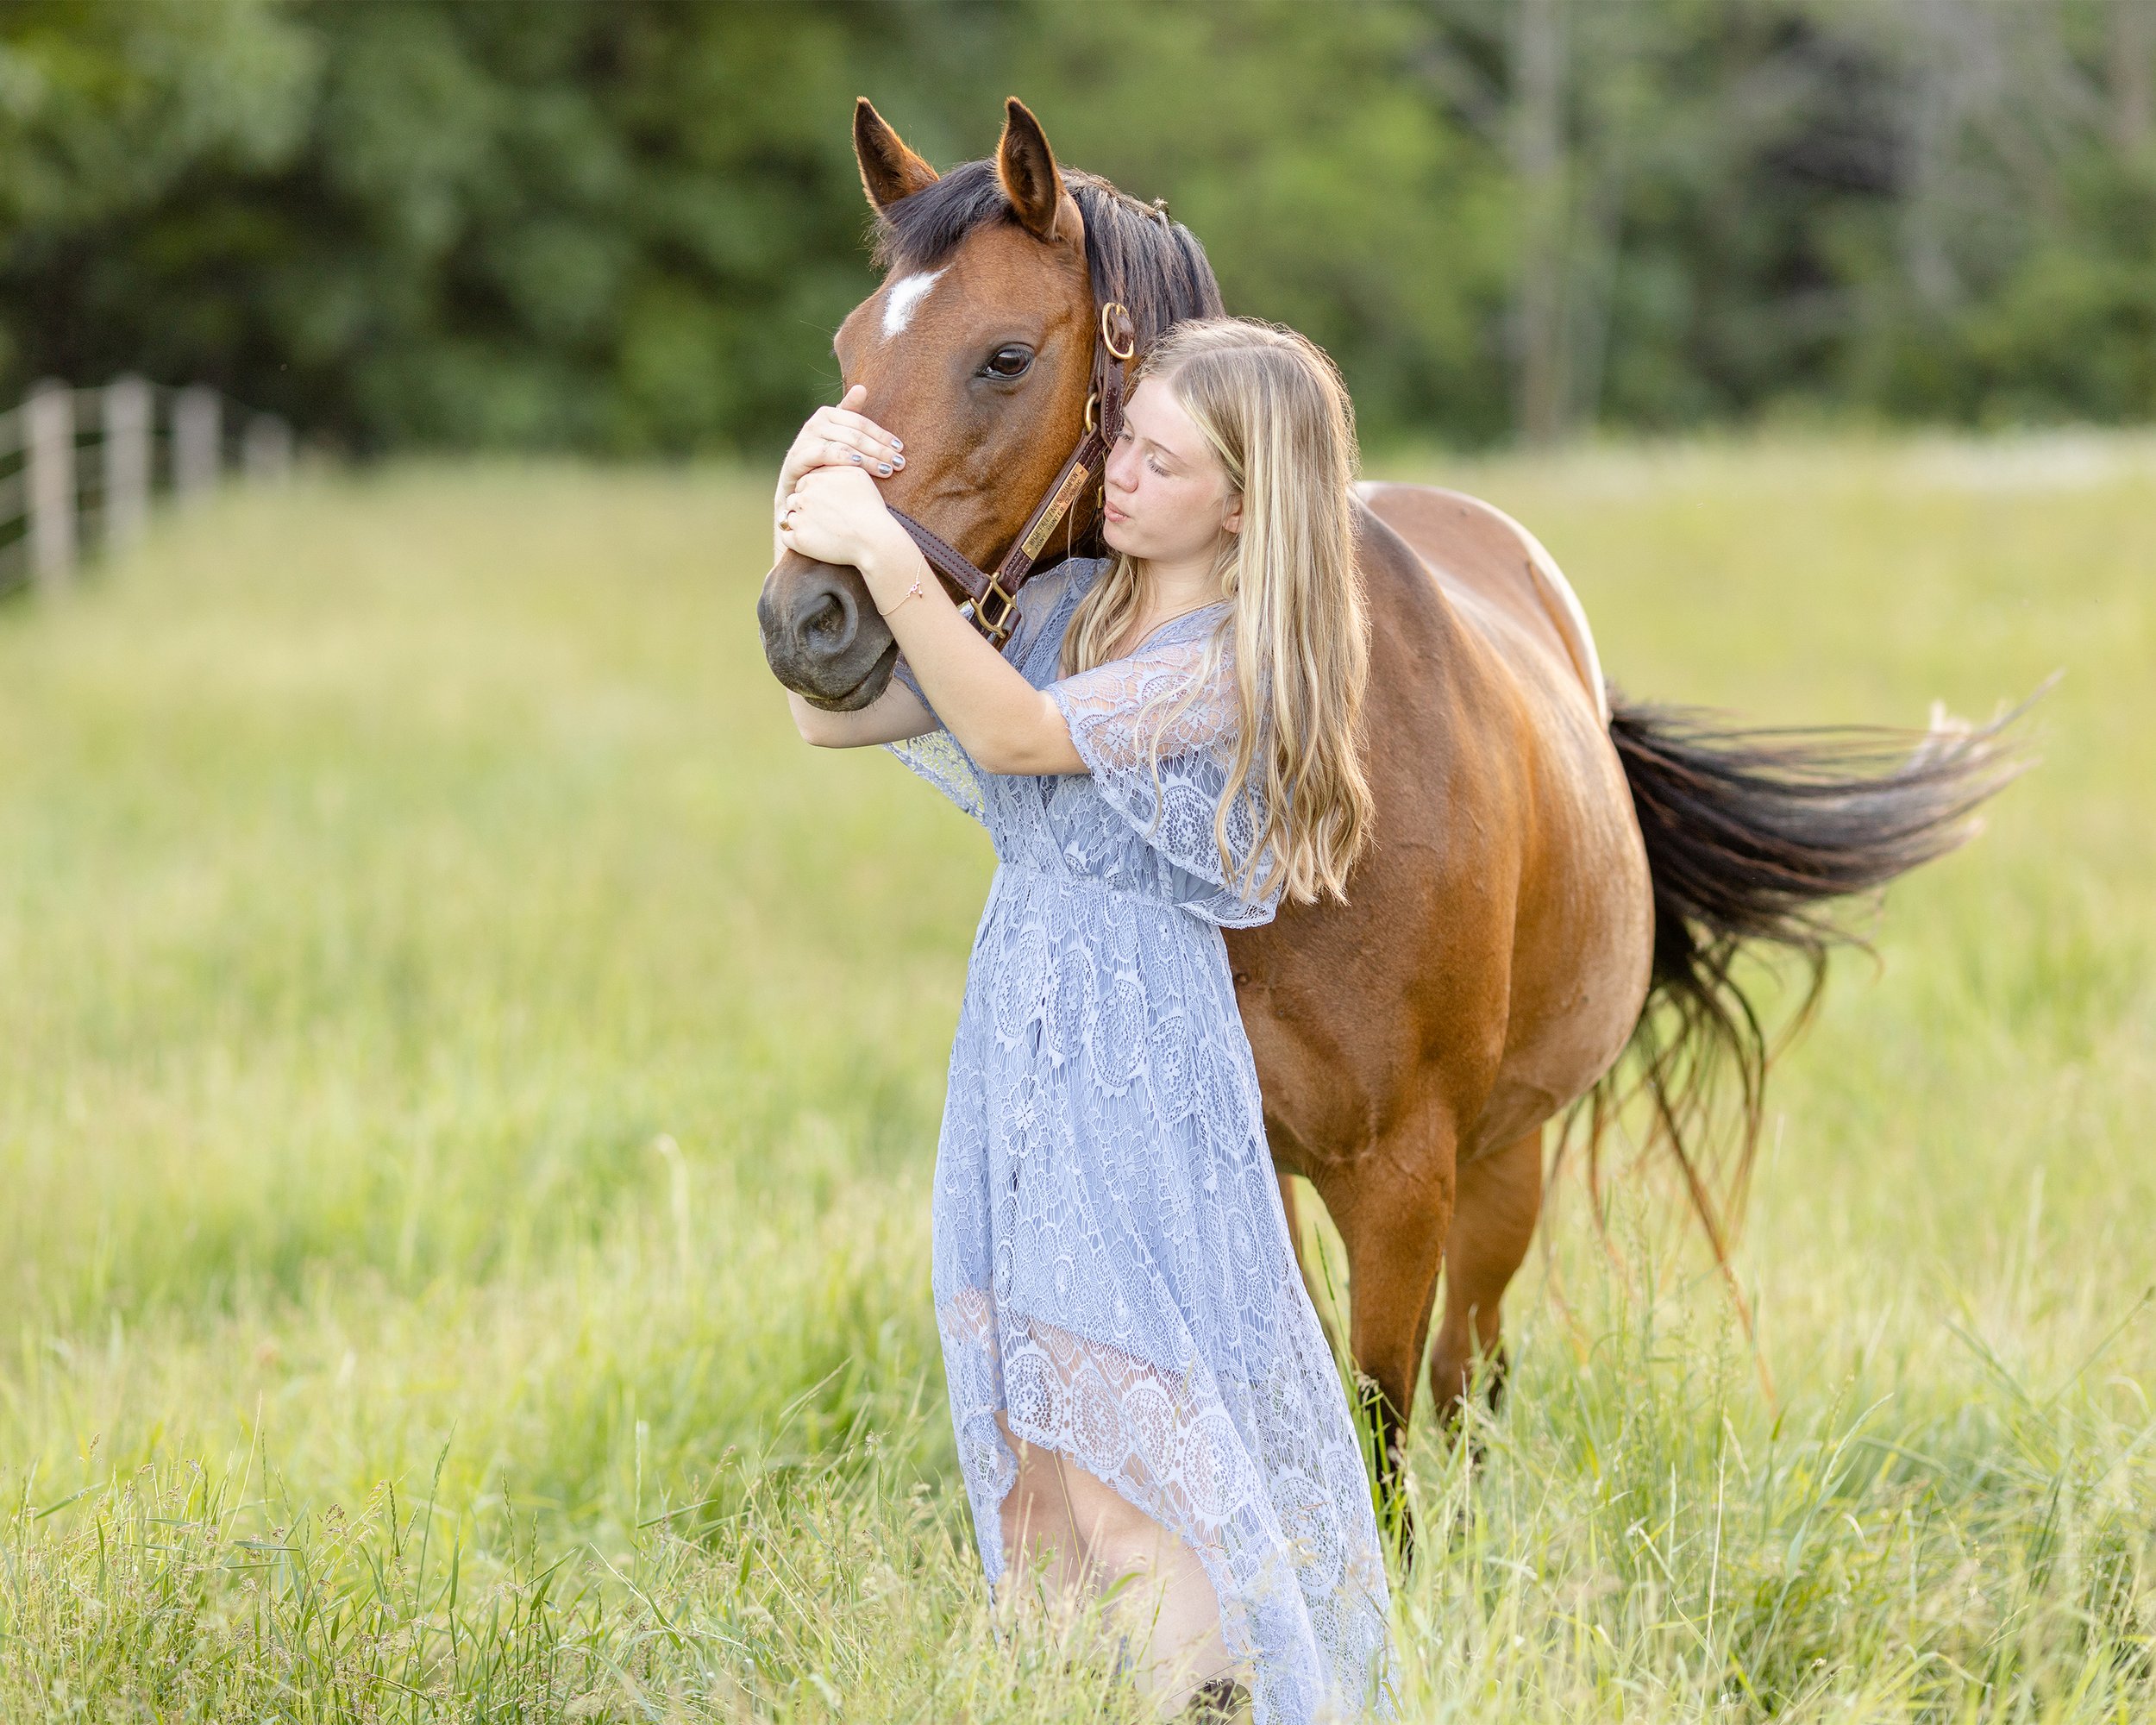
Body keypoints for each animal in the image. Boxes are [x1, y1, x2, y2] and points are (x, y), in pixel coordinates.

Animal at [755, 97, 2001, 1509]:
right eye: (851, 346)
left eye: (1004, 356)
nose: (807, 618)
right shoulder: (1251, 1169)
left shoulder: (1403, 1176)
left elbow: (1383, 1413)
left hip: (1506, 1163)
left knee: (1473, 1367)